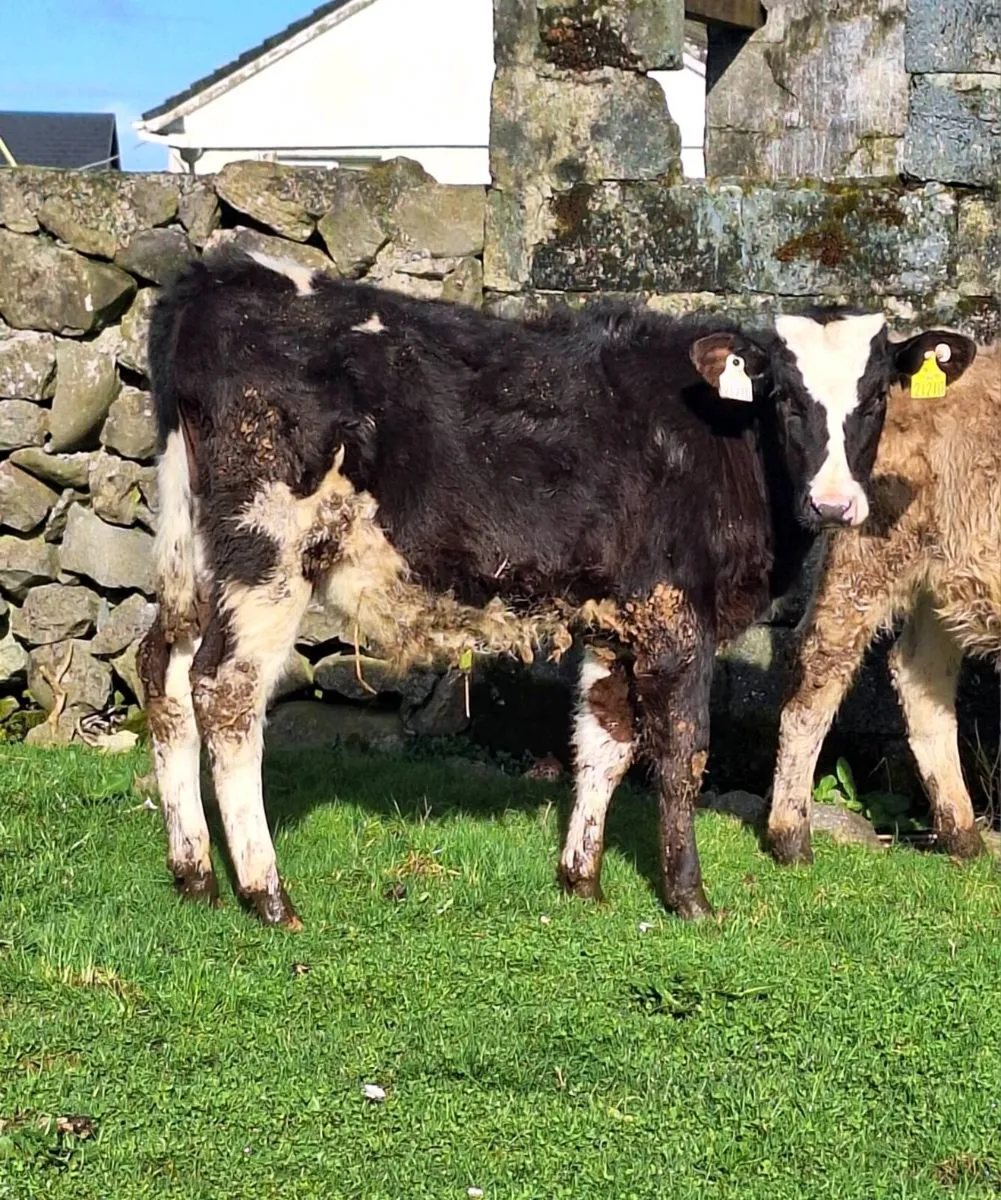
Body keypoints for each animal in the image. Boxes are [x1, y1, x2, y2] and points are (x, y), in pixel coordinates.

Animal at [136, 246, 970, 928]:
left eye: (874, 398)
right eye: (787, 398)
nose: (832, 504)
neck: (720, 444)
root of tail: (216, 278)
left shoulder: (614, 616)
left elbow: (602, 740)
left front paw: (582, 882)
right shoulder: (676, 616)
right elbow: (679, 751)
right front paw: (688, 898)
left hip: (190, 549)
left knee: (162, 670)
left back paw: (194, 874)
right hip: (267, 549)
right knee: (227, 689)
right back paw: (266, 894)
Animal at [768, 337, 993, 865]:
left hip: (937, 581)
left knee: (919, 674)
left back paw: (963, 835)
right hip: (865, 558)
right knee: (818, 675)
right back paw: (790, 837)